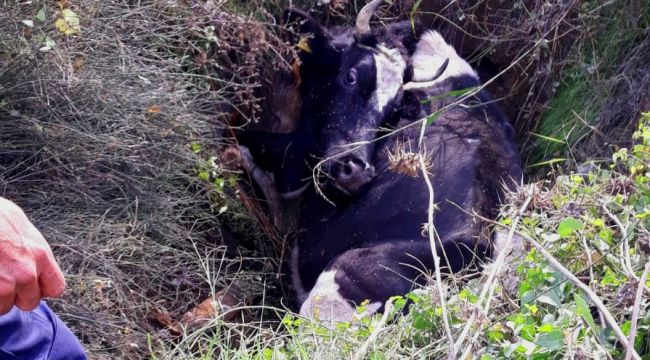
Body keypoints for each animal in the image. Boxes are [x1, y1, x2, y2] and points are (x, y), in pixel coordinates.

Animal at [235, 0, 520, 324]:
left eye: (394, 109)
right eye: (351, 76)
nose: (356, 172)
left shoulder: (296, 157)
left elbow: (249, 145)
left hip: (343, 279)